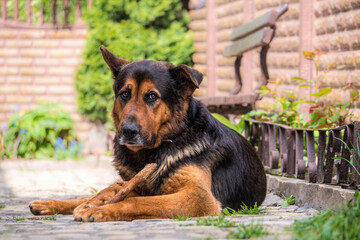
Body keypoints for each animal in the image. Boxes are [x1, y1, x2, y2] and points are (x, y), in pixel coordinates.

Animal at [28, 46, 268, 222]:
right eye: (125, 94)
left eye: (152, 96)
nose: (128, 131)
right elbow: (109, 193)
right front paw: (88, 204)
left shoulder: (199, 198)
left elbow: (135, 201)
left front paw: (98, 210)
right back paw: (49, 204)